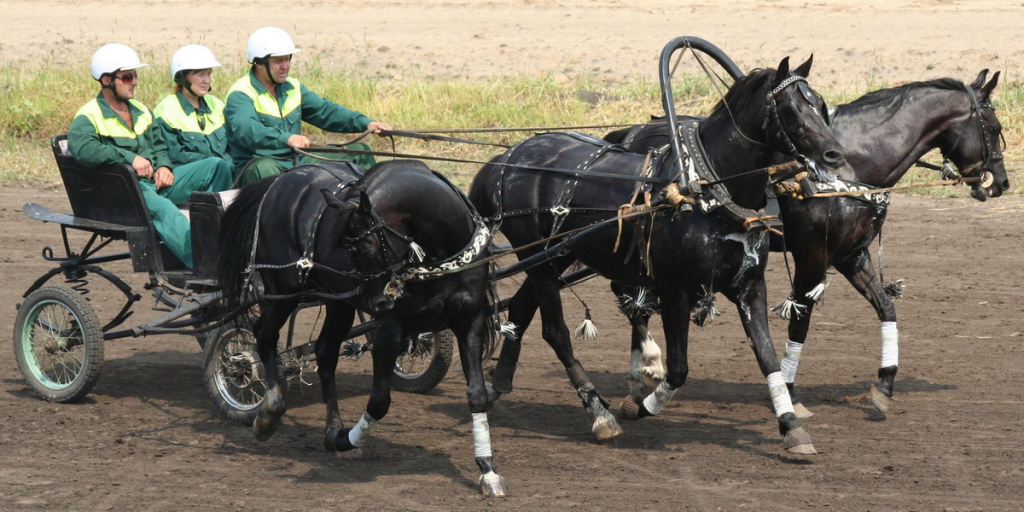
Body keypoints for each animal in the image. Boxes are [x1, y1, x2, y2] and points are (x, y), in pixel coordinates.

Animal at [217, 160, 507, 495]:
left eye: (367, 246)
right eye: (349, 250)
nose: (378, 301)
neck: (442, 252)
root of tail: (279, 181)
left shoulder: (469, 321)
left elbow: (477, 394)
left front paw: (487, 469)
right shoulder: (390, 330)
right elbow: (379, 402)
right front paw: (347, 439)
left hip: (338, 302)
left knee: (325, 352)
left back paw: (331, 426)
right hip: (284, 290)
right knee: (263, 334)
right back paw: (270, 412)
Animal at [468, 56, 843, 454]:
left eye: (820, 105)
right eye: (790, 108)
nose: (835, 155)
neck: (707, 188)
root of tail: (508, 157)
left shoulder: (750, 286)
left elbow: (768, 358)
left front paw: (791, 427)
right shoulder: (675, 289)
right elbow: (678, 369)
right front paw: (639, 405)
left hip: (553, 257)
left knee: (521, 307)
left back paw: (499, 384)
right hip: (540, 258)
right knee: (556, 332)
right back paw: (599, 413)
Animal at [606, 70, 1007, 417]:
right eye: (994, 127)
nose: (1000, 182)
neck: (851, 166)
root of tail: (628, 134)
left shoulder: (852, 255)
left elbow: (887, 309)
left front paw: (884, 385)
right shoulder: (812, 257)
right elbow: (800, 320)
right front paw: (790, 393)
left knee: (630, 294)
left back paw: (641, 371)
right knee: (630, 295)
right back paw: (650, 363)